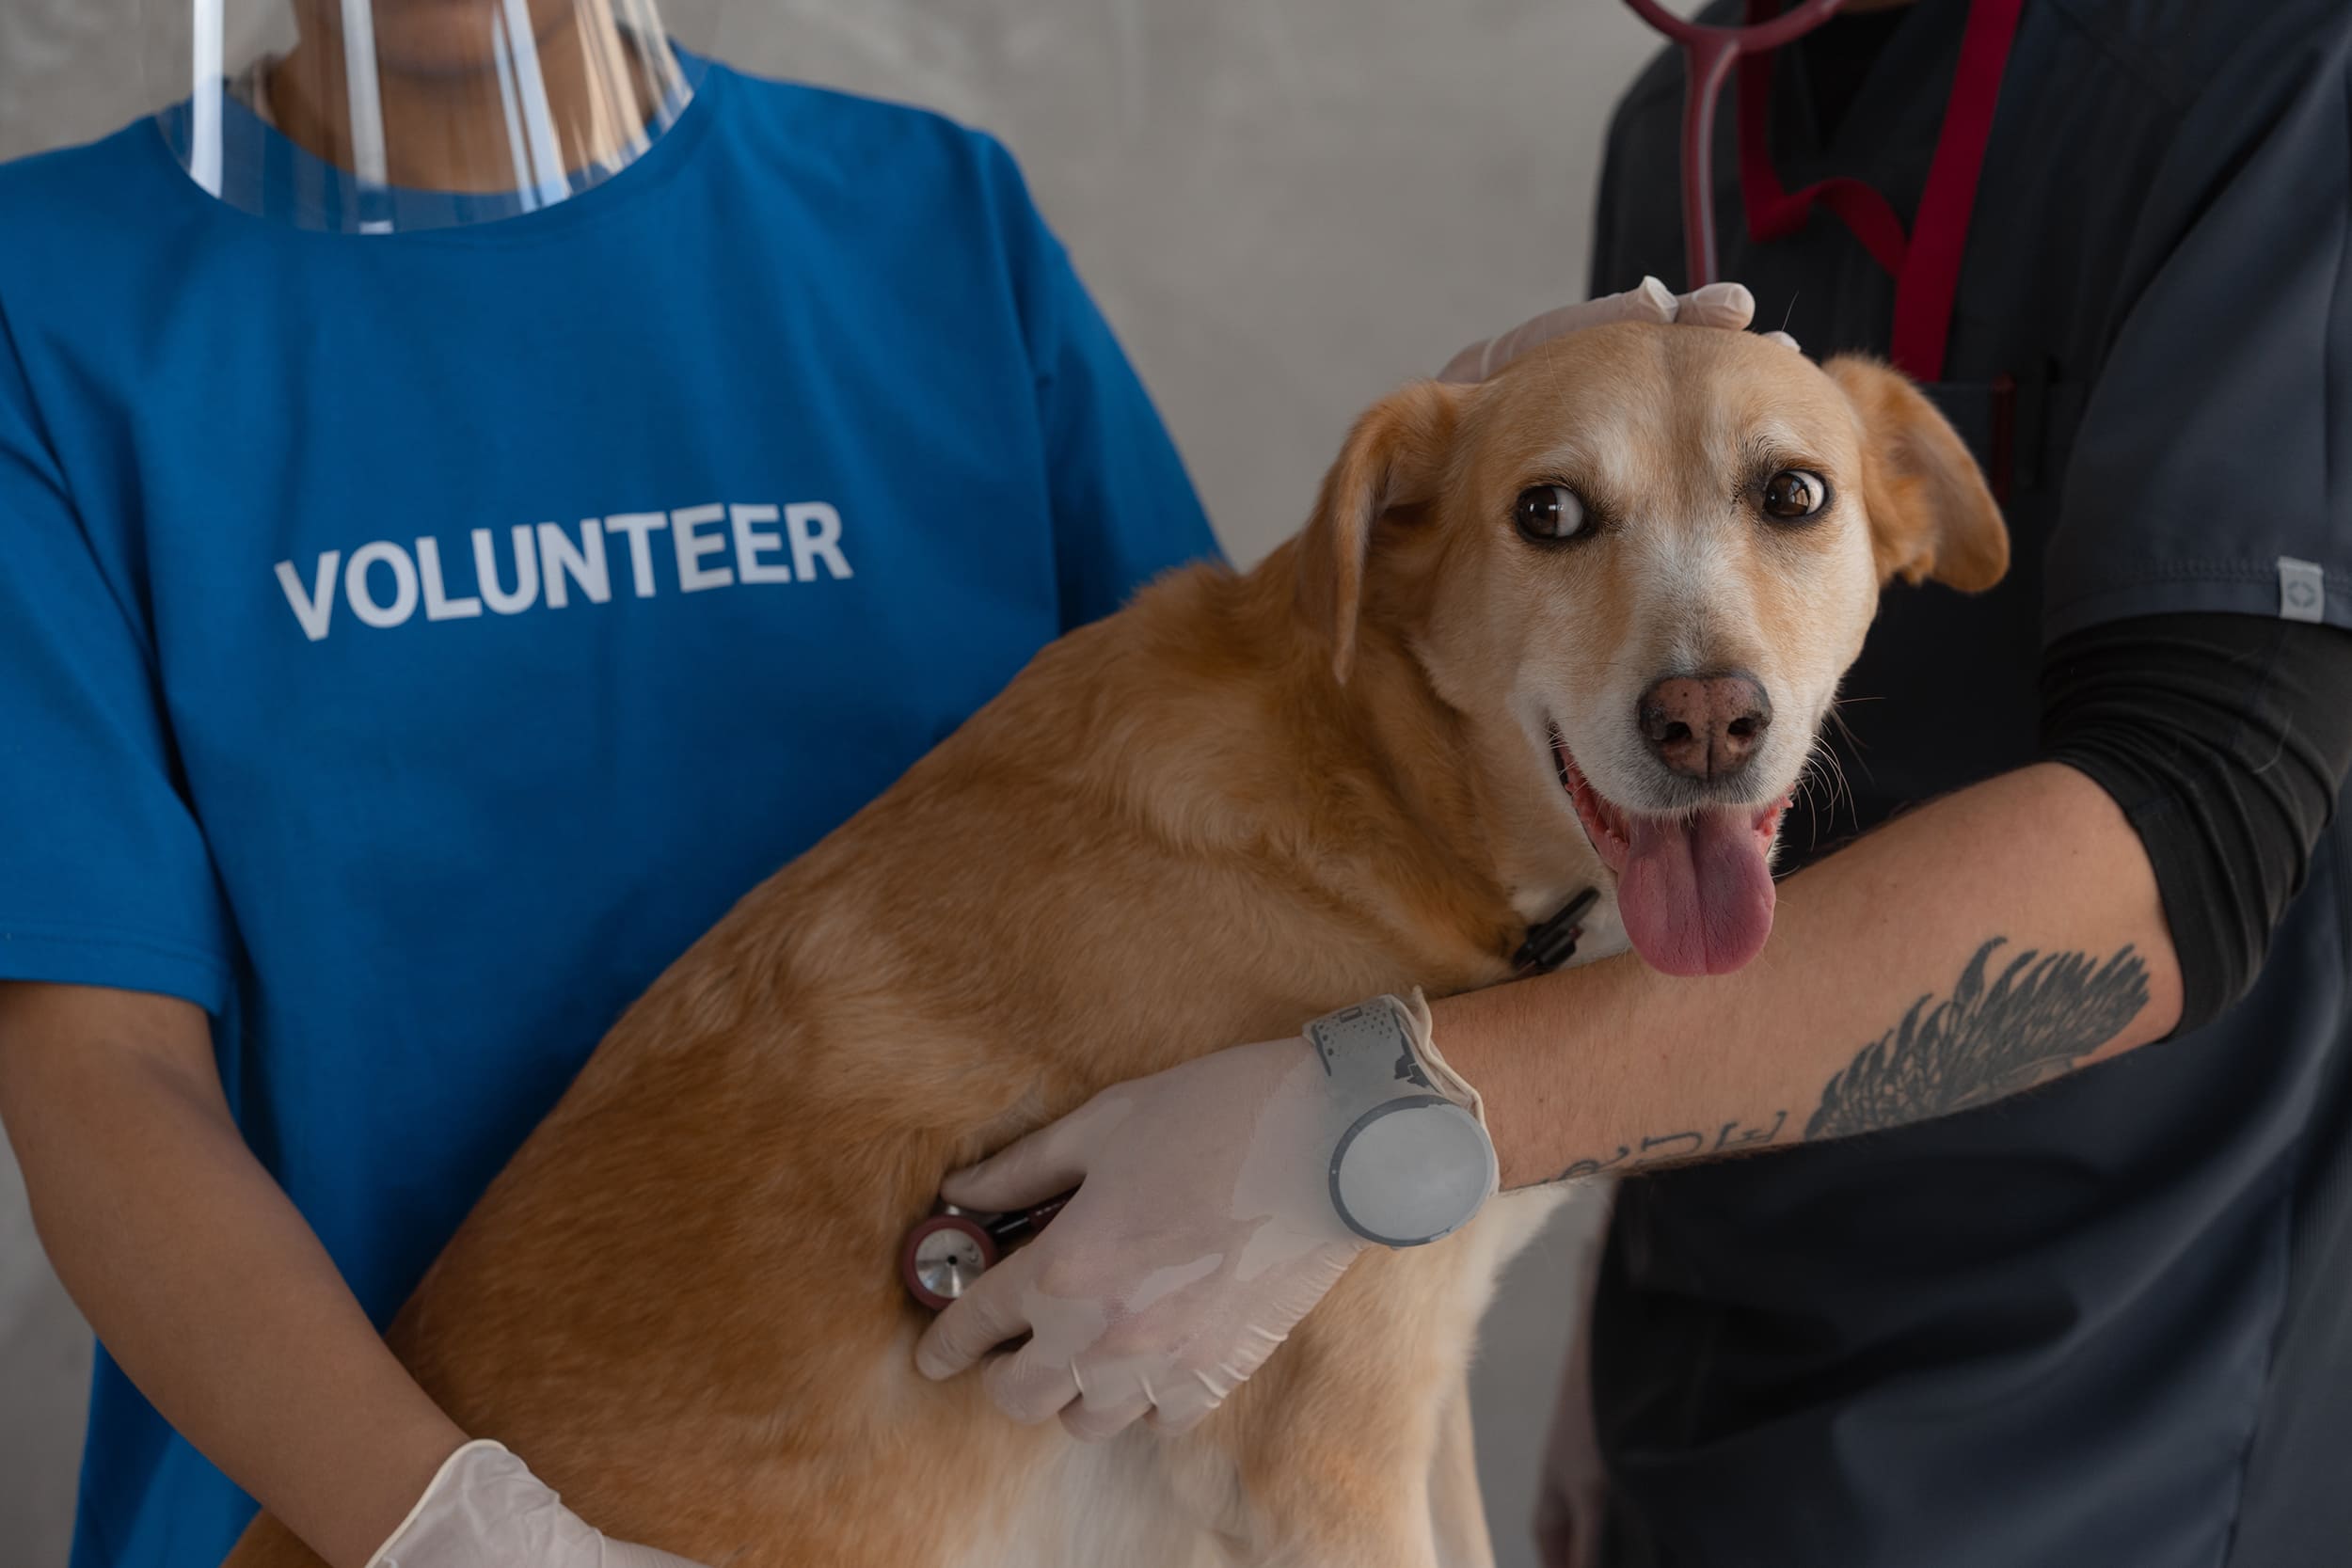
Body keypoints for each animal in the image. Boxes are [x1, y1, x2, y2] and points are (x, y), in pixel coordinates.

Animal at [224, 322, 2004, 1568]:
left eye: (1794, 495)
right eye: (1549, 511)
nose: (1709, 718)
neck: (1380, 787)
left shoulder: (1419, 1400)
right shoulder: (1325, 1466)